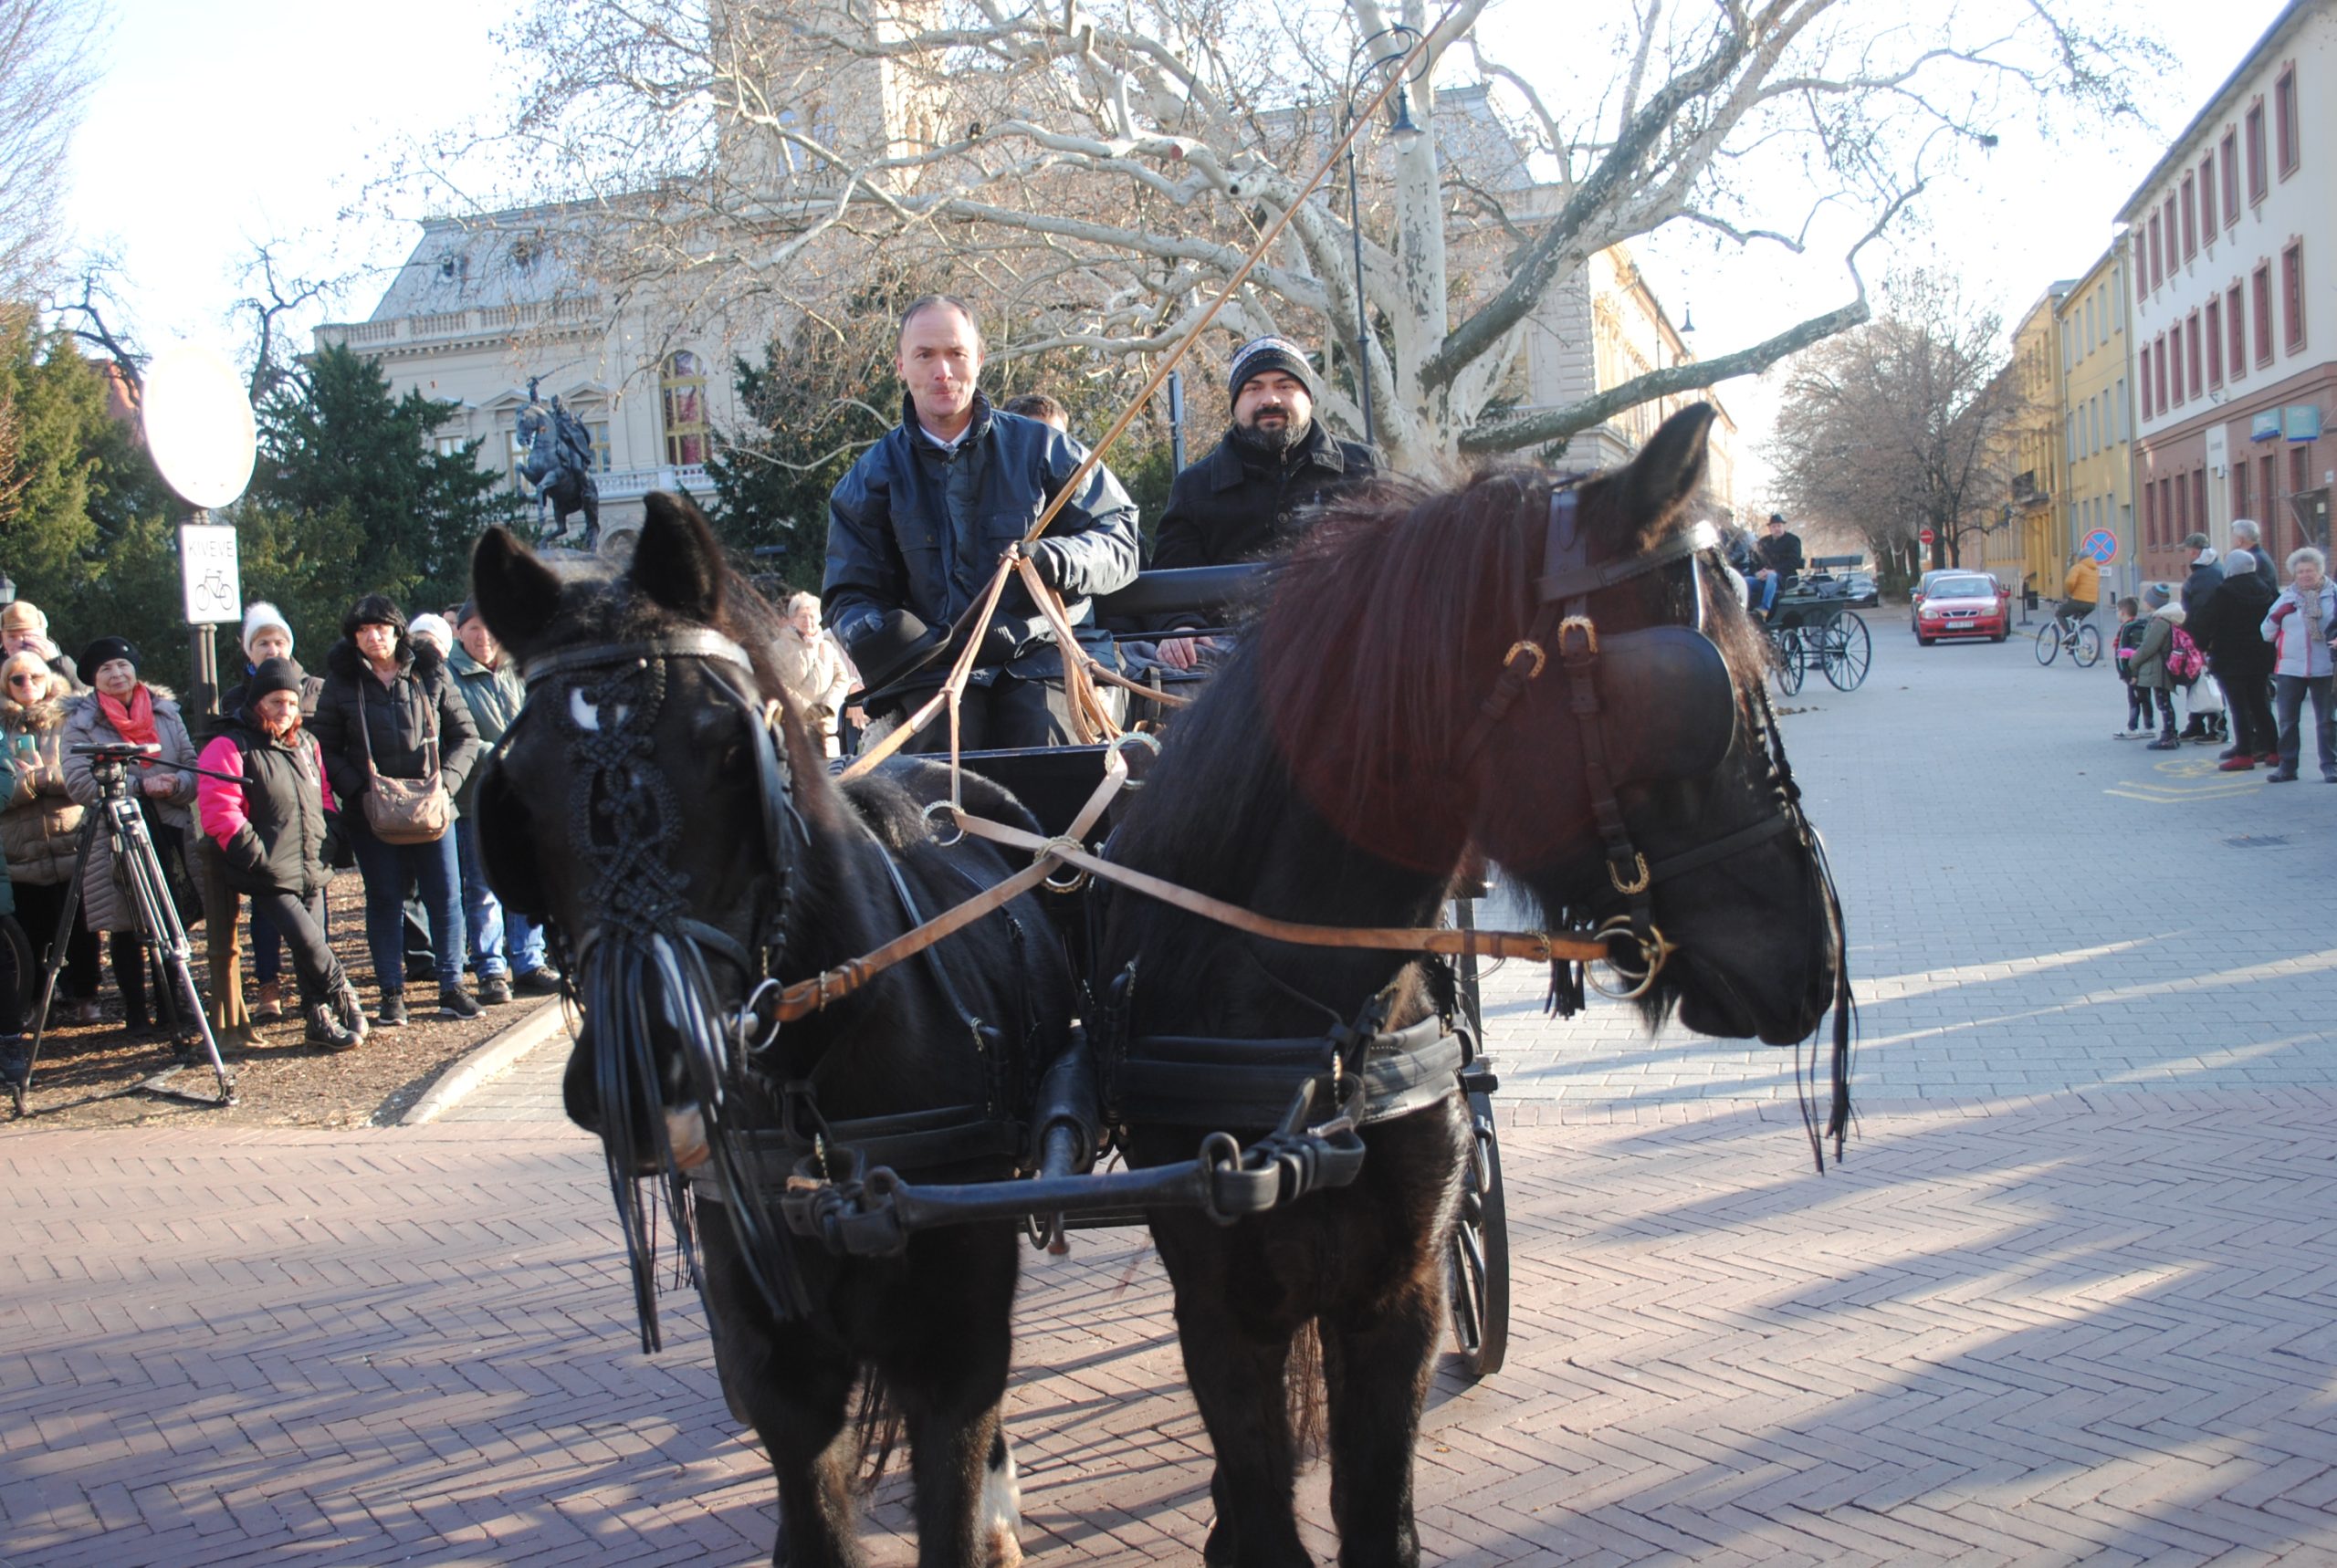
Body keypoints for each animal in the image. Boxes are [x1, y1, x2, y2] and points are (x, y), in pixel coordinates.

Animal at [474, 493, 1074, 1568]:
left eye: (727, 749)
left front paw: (986, 1510)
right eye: (520, 787)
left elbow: (954, 1493)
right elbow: (817, 1518)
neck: (814, 1093)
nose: (643, 1074)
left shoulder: (953, 1347)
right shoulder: (778, 1372)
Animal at [1088, 409, 1841, 1568]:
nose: (1818, 953)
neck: (1311, 1034)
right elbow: (1263, 1508)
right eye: (1704, 692)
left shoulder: (1400, 1292)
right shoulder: (1219, 1307)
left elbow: (1379, 1519)